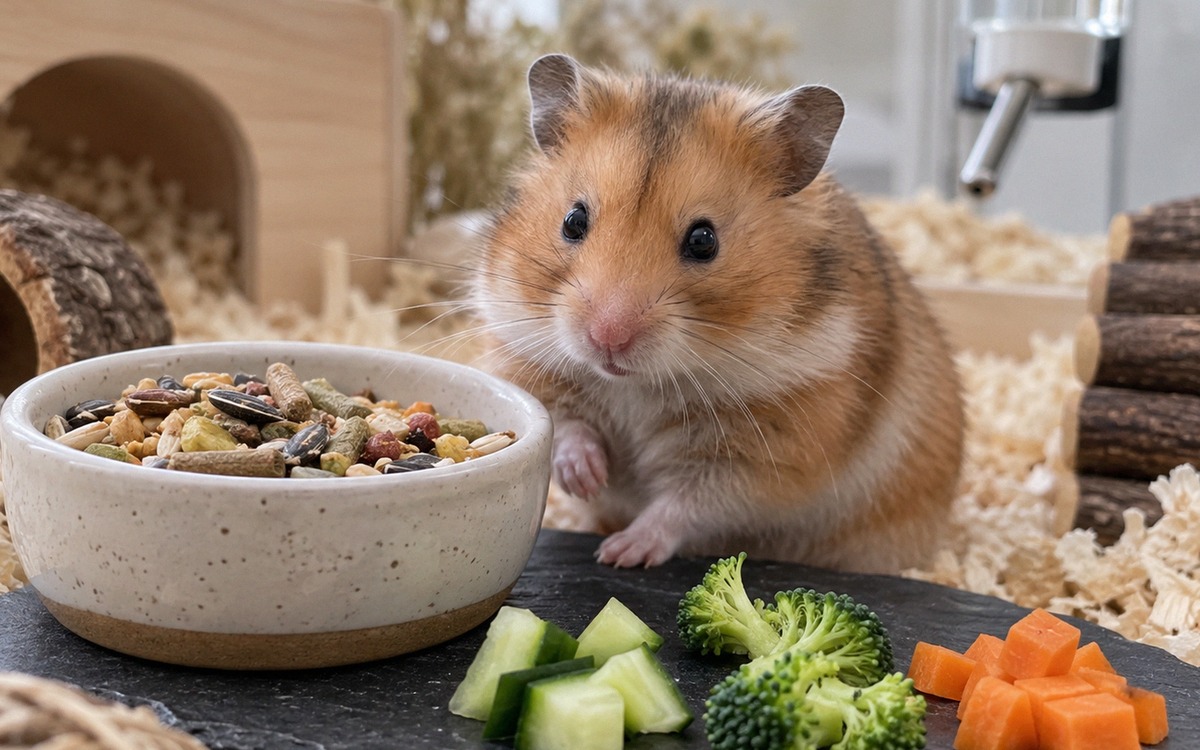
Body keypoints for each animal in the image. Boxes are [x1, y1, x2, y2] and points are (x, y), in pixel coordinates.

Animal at [470, 54, 964, 573]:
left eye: (704, 240)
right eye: (573, 220)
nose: (608, 338)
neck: (636, 385)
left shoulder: (767, 453)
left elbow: (690, 503)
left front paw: (622, 553)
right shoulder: (523, 354)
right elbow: (563, 425)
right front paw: (586, 478)